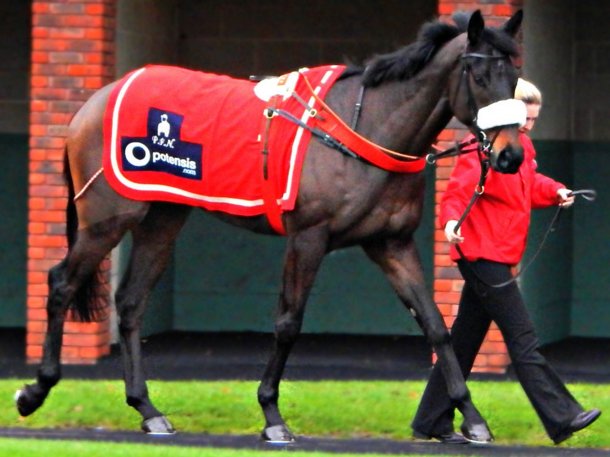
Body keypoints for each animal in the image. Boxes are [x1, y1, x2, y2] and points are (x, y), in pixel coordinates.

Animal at [17, 10, 524, 443]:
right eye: (480, 77)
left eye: (516, 78)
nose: (510, 156)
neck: (366, 127)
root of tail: (95, 102)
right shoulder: (308, 238)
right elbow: (288, 322)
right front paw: (272, 415)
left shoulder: (391, 243)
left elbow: (436, 324)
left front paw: (472, 417)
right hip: (107, 219)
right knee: (61, 283)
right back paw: (35, 391)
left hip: (162, 218)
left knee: (131, 301)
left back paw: (147, 409)